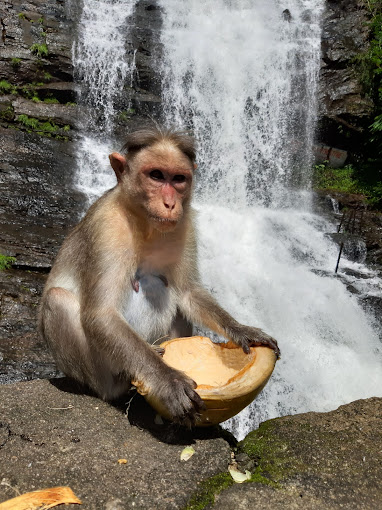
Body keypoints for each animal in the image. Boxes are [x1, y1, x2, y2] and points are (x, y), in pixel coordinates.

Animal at [38, 126, 280, 426]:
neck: (145, 222)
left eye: (178, 179)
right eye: (156, 175)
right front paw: (168, 381)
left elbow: (188, 292)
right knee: (57, 298)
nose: (169, 203)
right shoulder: (106, 226)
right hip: (98, 370)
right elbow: (101, 314)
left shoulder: (184, 225)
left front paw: (242, 330)